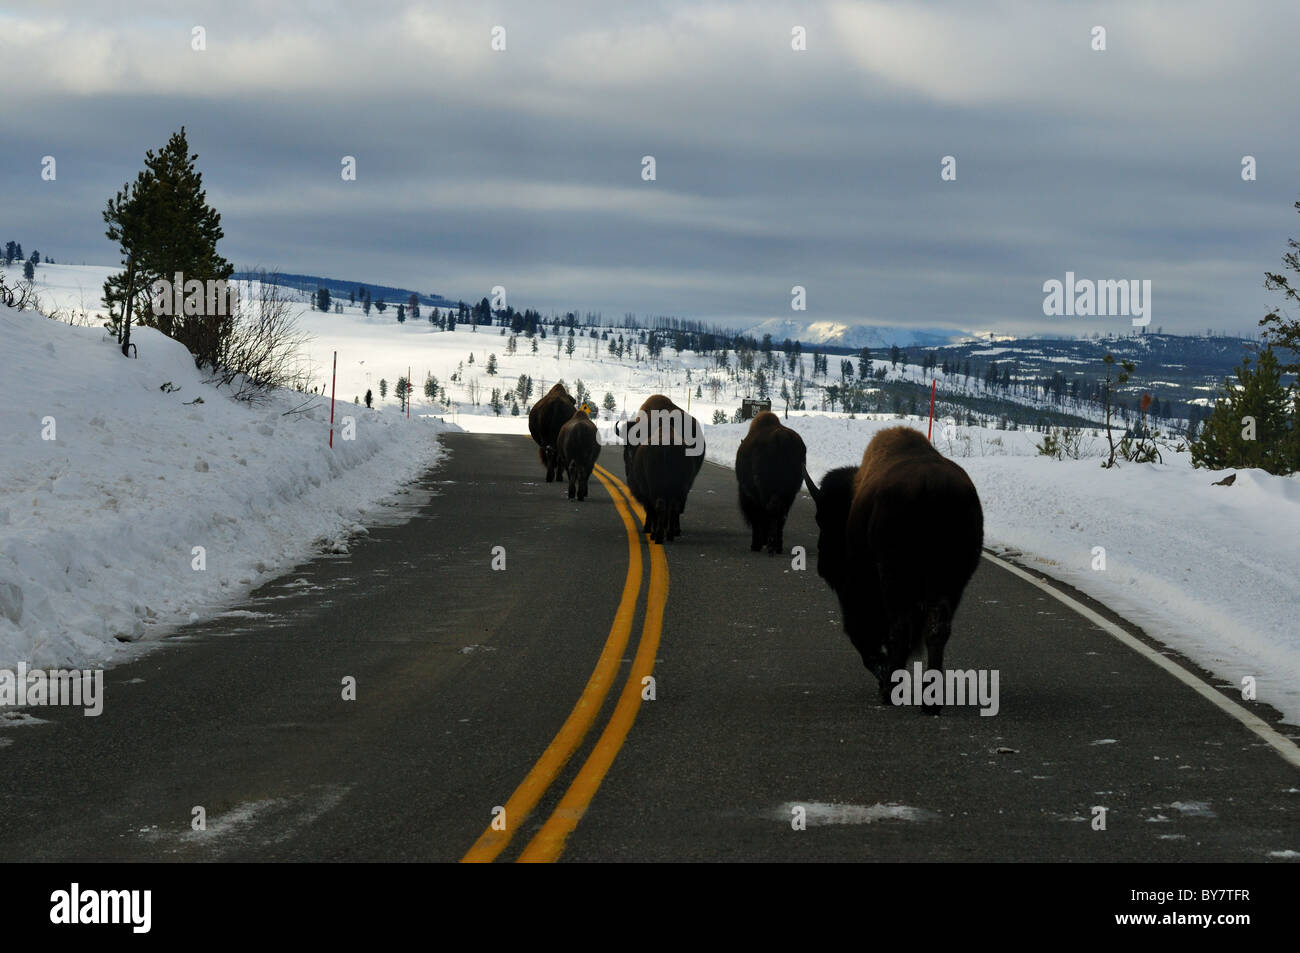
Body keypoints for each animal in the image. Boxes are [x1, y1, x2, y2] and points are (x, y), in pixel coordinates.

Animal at [616, 395, 707, 543]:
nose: (629, 455)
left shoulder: (646, 489)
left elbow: (650, 509)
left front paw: (648, 528)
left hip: (657, 488)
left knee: (659, 507)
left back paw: (658, 534)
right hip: (682, 486)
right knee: (675, 507)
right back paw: (672, 532)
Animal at [738, 410, 806, 556]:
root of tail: (783, 438)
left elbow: (757, 518)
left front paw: (755, 545)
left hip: (767, 492)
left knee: (771, 512)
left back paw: (770, 546)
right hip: (790, 492)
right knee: (782, 516)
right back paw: (777, 547)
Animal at [800, 423, 982, 707]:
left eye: (822, 518)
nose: (824, 565)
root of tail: (932, 486)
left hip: (895, 579)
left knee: (899, 629)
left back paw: (890, 689)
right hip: (952, 582)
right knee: (936, 630)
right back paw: (931, 700)